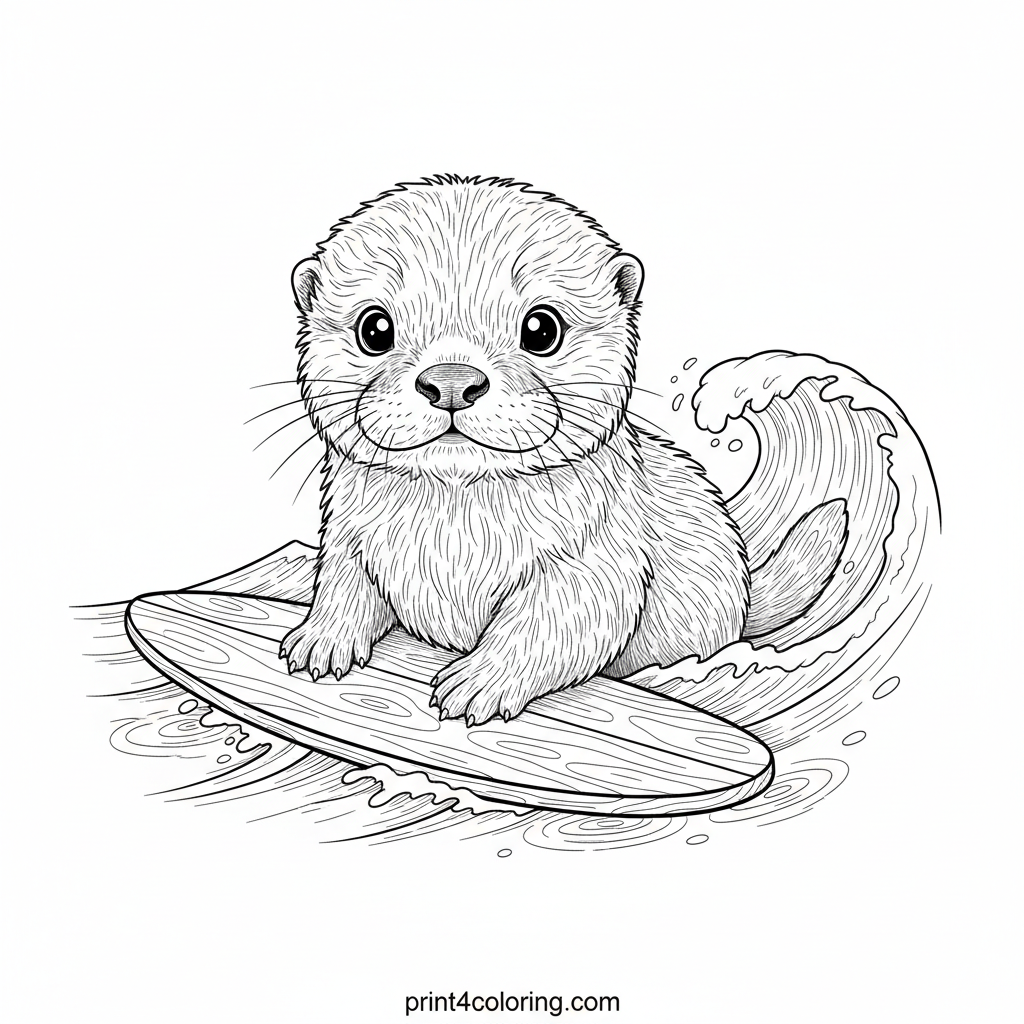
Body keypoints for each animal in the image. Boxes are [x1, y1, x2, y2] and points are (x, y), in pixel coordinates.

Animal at [281, 175, 844, 724]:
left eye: (541, 328)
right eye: (375, 328)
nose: (452, 381)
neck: (455, 540)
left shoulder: (595, 559)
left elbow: (552, 624)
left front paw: (479, 681)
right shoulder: (350, 535)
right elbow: (344, 585)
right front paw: (320, 638)